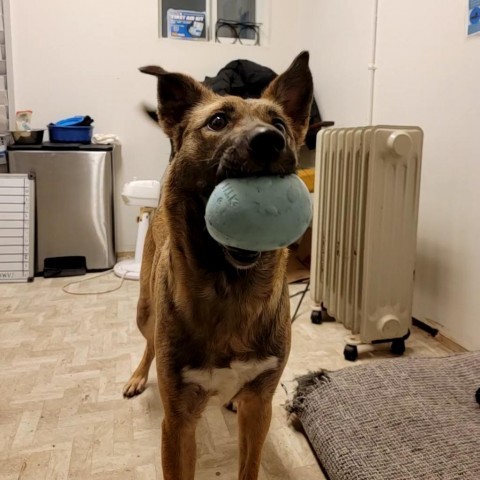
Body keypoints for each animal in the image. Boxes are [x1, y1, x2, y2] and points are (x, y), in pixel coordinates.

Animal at [122, 52, 314, 480]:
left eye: (279, 123)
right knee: (148, 343)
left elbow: (249, 465)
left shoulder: (259, 408)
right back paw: (138, 376)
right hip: (145, 311)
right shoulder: (178, 423)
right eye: (218, 121)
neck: (231, 290)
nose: (269, 140)